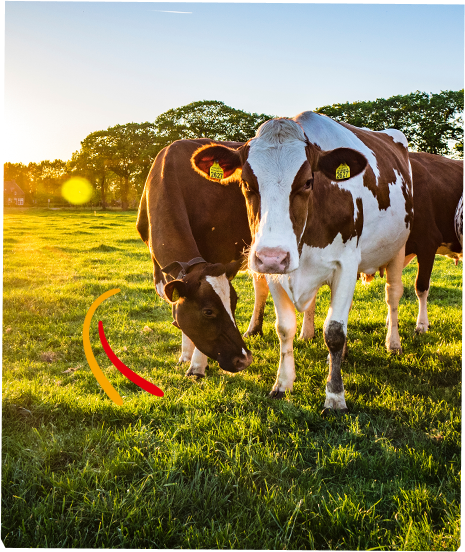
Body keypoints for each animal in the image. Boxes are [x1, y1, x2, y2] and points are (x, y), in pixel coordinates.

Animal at [136, 139, 268, 380]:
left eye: (234, 304)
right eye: (208, 311)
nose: (244, 359)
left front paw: (197, 366)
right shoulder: (159, 267)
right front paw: (185, 356)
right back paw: (254, 330)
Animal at [190, 112, 412, 412]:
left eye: (308, 182)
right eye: (246, 183)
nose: (272, 256)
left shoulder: (346, 264)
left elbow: (334, 332)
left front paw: (335, 395)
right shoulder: (276, 273)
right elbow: (284, 328)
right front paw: (282, 384)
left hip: (398, 249)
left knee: (393, 295)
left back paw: (393, 342)